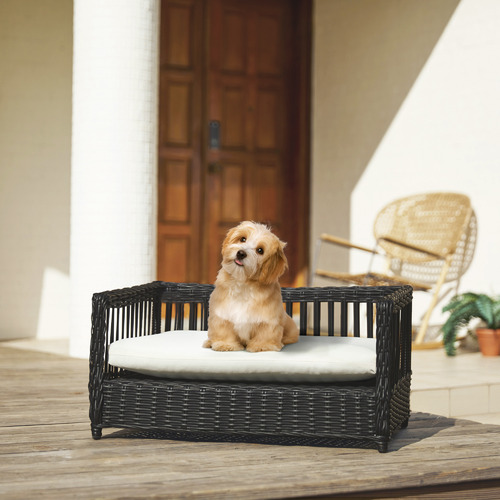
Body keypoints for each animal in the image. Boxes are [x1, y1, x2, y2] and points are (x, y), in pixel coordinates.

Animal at [202, 219, 296, 352]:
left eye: (260, 250)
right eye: (243, 239)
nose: (241, 253)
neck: (243, 284)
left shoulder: (268, 320)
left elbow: (266, 332)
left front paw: (262, 346)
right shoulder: (222, 315)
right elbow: (224, 330)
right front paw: (226, 344)